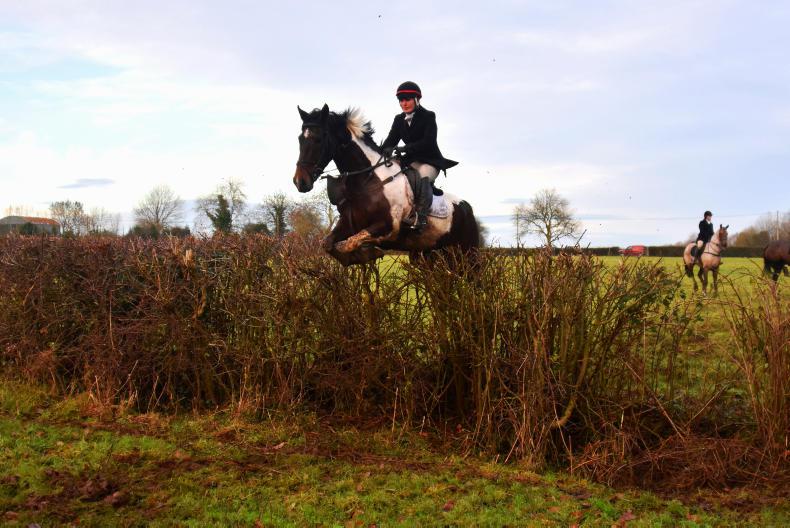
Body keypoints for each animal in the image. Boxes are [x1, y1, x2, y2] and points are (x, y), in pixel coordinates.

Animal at [292, 104, 479, 267]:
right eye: (300, 139)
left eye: (318, 139)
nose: (300, 182)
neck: (366, 181)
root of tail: (466, 207)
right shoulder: (347, 224)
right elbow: (328, 243)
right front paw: (357, 256)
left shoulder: (388, 225)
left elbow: (351, 242)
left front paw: (369, 251)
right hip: (427, 256)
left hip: (467, 254)